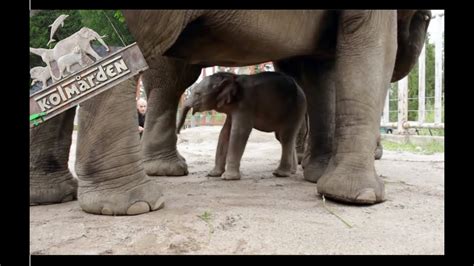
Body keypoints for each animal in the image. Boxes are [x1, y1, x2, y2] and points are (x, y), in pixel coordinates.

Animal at [178, 71, 308, 180]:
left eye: (197, 94)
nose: (178, 132)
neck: (231, 77)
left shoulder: (245, 105)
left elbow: (239, 132)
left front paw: (228, 178)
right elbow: (224, 133)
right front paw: (213, 174)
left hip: (296, 108)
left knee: (286, 137)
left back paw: (280, 174)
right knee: (282, 137)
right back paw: (291, 172)